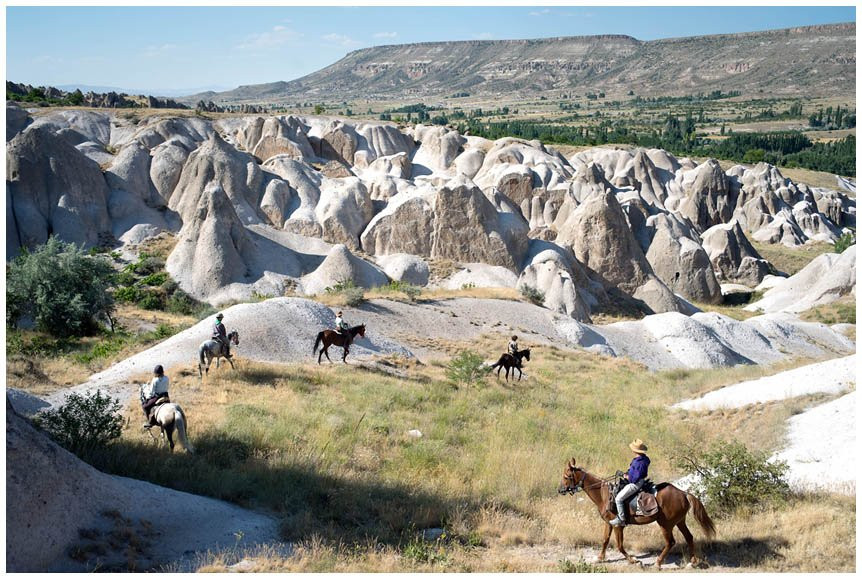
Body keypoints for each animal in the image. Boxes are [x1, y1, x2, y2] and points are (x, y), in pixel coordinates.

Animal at [560, 458, 716, 568]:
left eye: (566, 476)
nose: (560, 490)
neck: (604, 495)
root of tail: (683, 493)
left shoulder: (618, 525)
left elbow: (620, 545)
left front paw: (633, 560)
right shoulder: (608, 523)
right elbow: (605, 540)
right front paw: (599, 558)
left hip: (665, 524)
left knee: (670, 542)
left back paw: (658, 563)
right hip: (679, 521)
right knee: (689, 537)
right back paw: (692, 562)